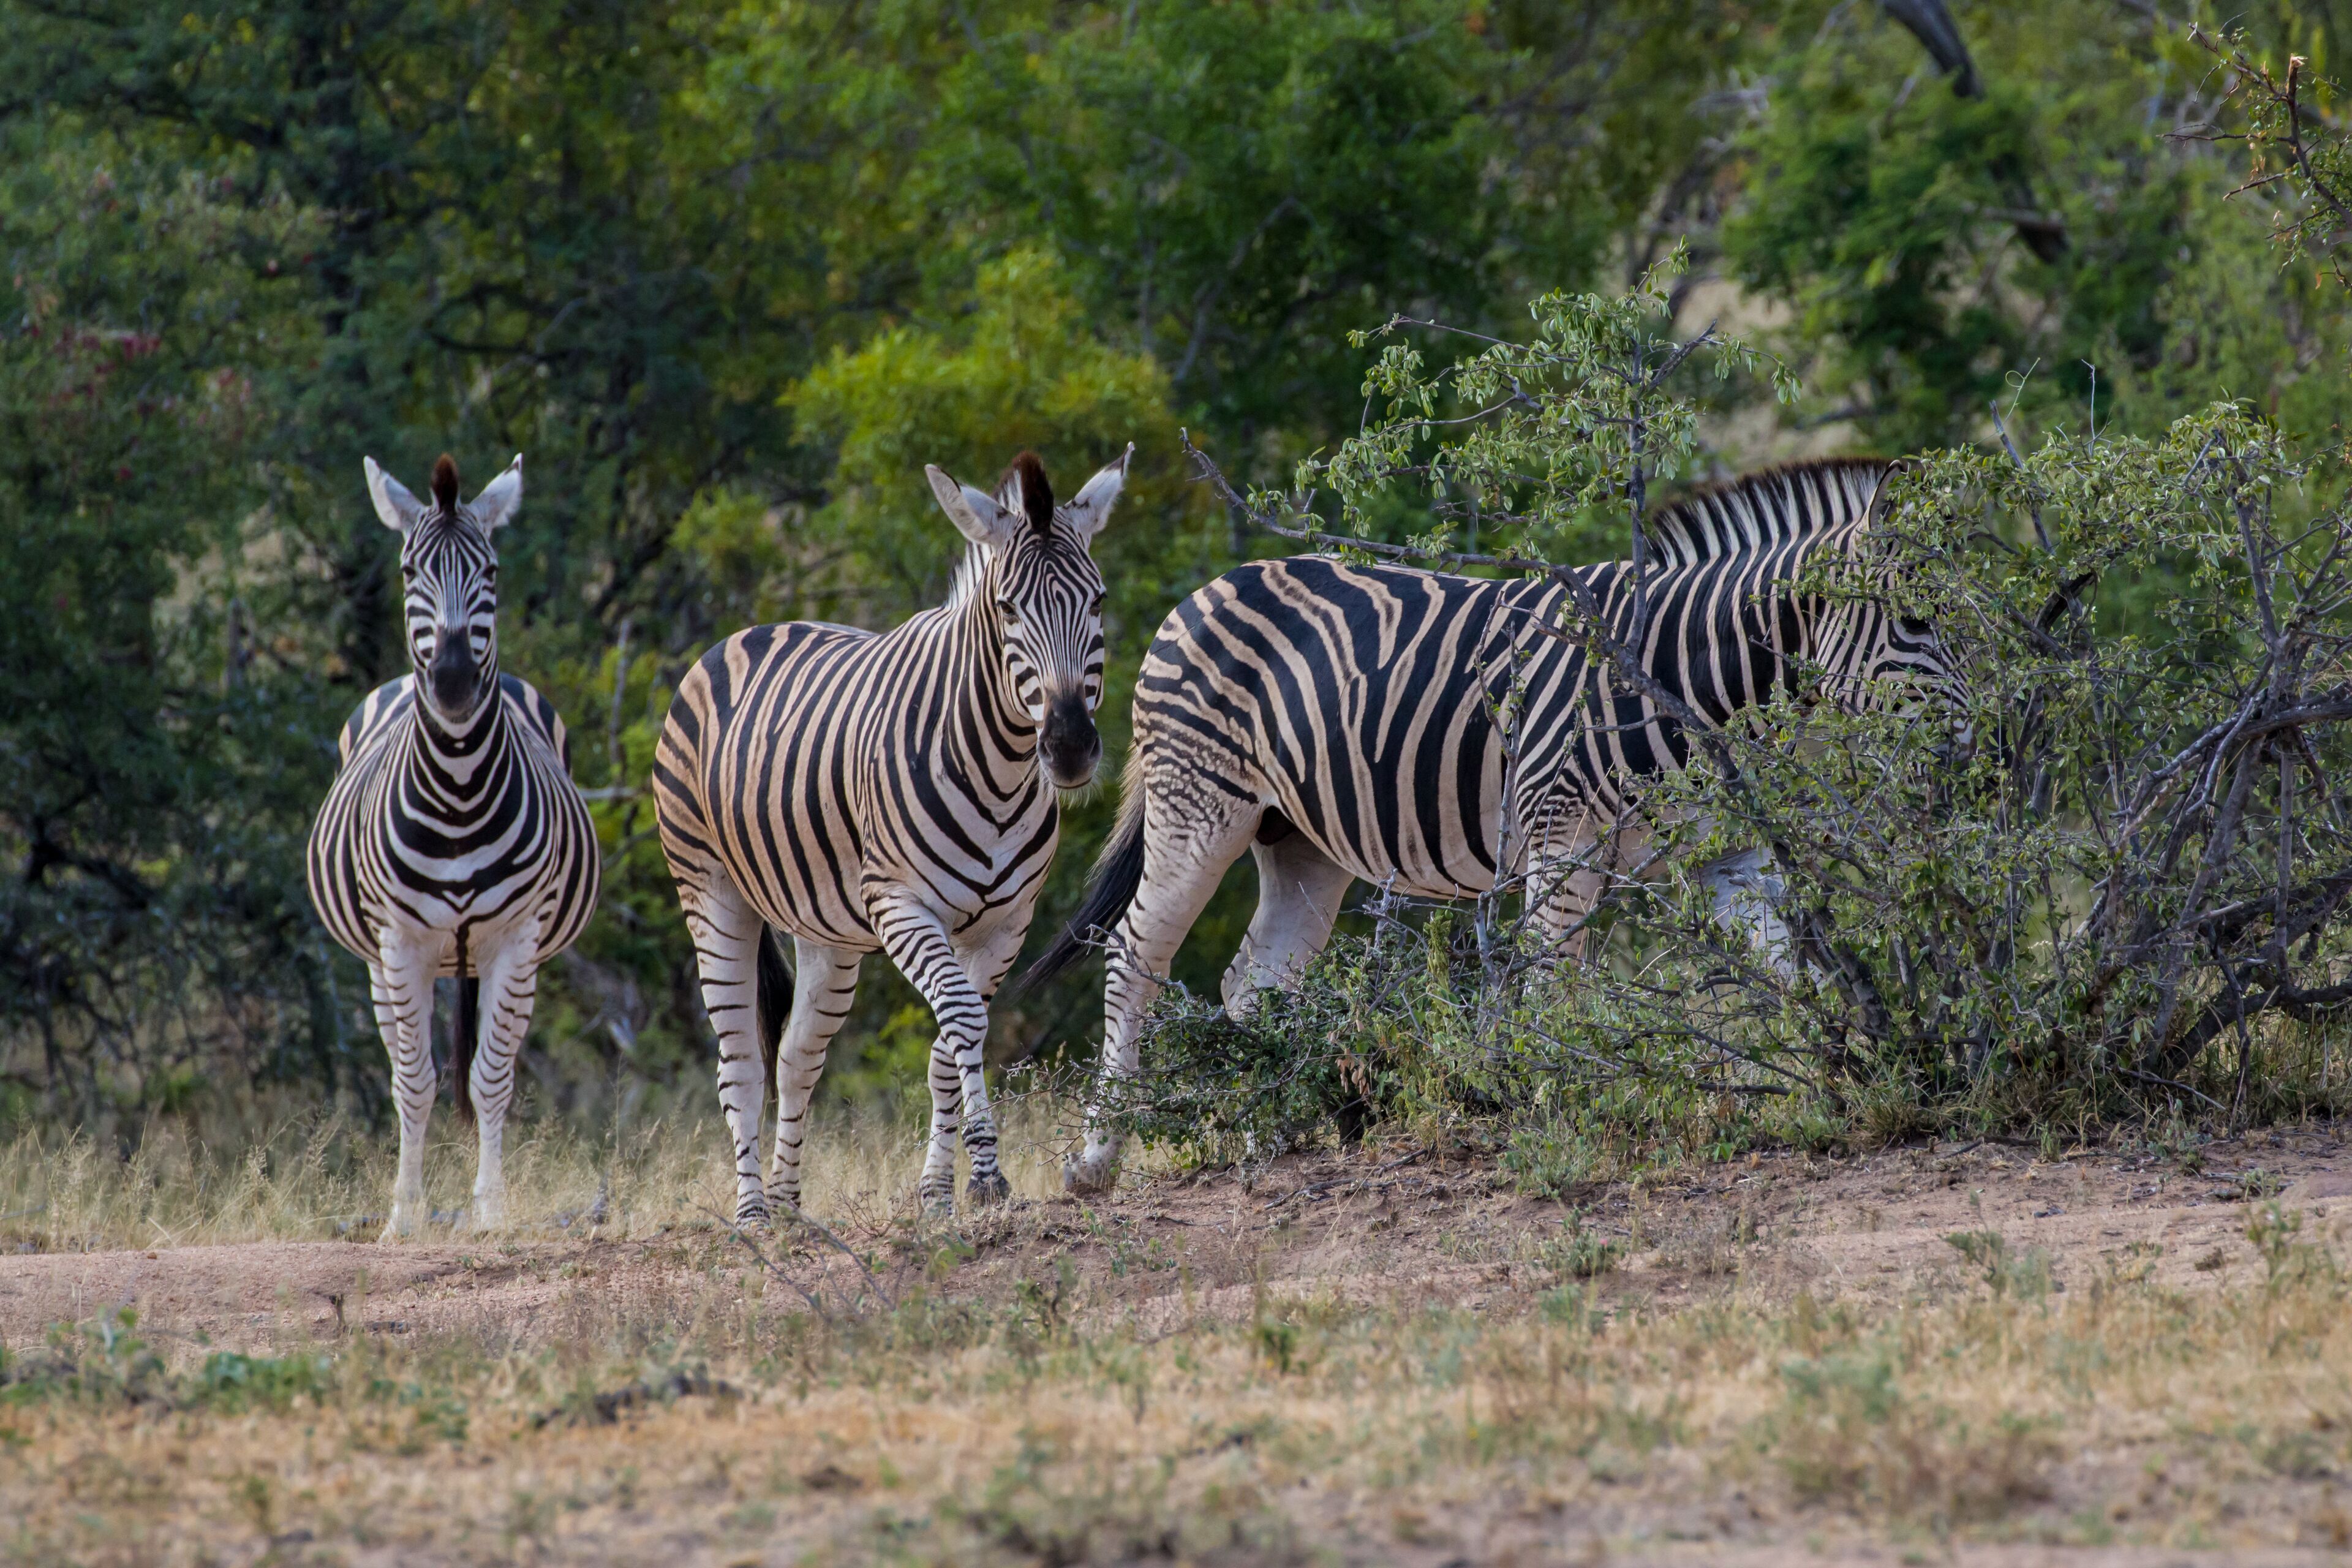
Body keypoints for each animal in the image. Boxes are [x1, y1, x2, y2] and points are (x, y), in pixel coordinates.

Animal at [307, 454, 601, 1239]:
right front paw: (405, 1219)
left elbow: (490, 1077)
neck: (462, 790)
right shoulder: (401, 940)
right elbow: (415, 1080)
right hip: (378, 962)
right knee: (401, 1067)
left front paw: (490, 1213)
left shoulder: (516, 938)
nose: (454, 682)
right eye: (410, 571)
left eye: (491, 570)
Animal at [652, 447, 1131, 1221]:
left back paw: (788, 1208)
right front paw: (986, 1174)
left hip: (826, 932)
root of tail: (746, 633)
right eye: (1008, 608)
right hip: (712, 894)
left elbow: (948, 1045)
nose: (1068, 748)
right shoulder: (902, 905)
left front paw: (938, 1192)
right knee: (742, 1064)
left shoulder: (1006, 923)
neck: (1000, 770)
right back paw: (751, 1214)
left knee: (798, 1055)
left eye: (1099, 600)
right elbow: (962, 1021)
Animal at [1023, 458, 1966, 1193]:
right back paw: (1099, 1158)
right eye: (1916, 621)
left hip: (1299, 840)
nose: (1975, 743)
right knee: (1136, 951)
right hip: (1199, 803)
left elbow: (1785, 980)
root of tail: (1208, 589)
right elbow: (1556, 988)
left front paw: (1821, 1095)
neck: (1683, 682)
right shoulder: (1560, 830)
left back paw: (1270, 1130)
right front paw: (1565, 1114)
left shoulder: (1725, 853)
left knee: (1254, 978)